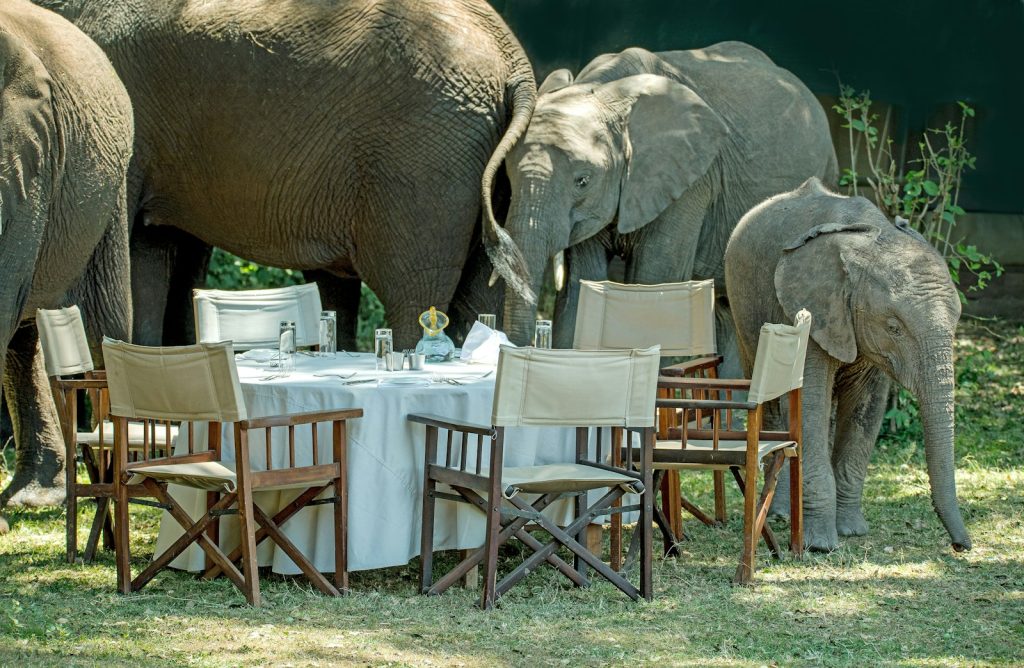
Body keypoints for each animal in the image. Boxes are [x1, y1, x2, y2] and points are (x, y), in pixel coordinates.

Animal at [481, 42, 838, 355]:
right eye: (508, 178)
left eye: (582, 181)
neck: (604, 90)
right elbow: (584, 284)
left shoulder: (691, 181)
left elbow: (653, 282)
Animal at [724, 176, 971, 553]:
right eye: (894, 327)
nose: (961, 546)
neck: (872, 238)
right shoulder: (812, 308)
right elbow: (809, 403)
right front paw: (821, 545)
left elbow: (866, 409)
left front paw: (852, 531)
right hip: (742, 309)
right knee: (772, 403)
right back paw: (780, 515)